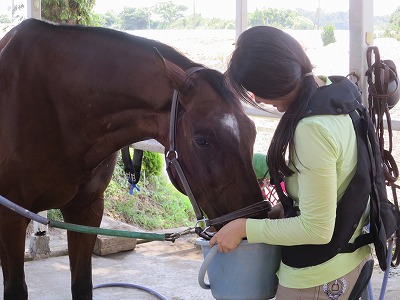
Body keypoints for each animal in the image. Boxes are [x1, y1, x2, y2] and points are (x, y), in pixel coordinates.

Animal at [0, 19, 264, 300]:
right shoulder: (11, 217)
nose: (254, 220)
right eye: (201, 140)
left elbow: (82, 284)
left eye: (252, 131)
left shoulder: (86, 209)